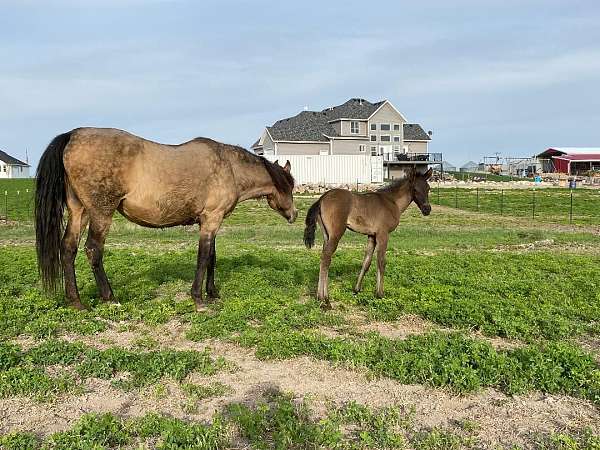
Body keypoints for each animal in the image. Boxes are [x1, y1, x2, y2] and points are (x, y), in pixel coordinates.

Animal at [35, 126, 298, 310]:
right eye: (290, 186)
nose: (294, 214)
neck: (229, 168)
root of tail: (73, 135)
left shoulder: (210, 222)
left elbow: (212, 257)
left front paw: (212, 293)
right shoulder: (212, 219)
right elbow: (203, 257)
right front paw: (198, 299)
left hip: (80, 212)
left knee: (68, 249)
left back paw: (76, 302)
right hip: (101, 213)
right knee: (93, 250)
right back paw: (110, 298)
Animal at [304, 169, 432, 310]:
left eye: (428, 188)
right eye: (415, 189)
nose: (427, 209)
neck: (392, 202)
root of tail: (322, 198)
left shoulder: (372, 236)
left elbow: (367, 262)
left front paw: (357, 289)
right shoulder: (383, 234)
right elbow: (381, 262)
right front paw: (380, 293)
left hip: (327, 235)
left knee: (323, 257)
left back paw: (320, 297)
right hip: (336, 233)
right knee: (327, 258)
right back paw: (325, 300)